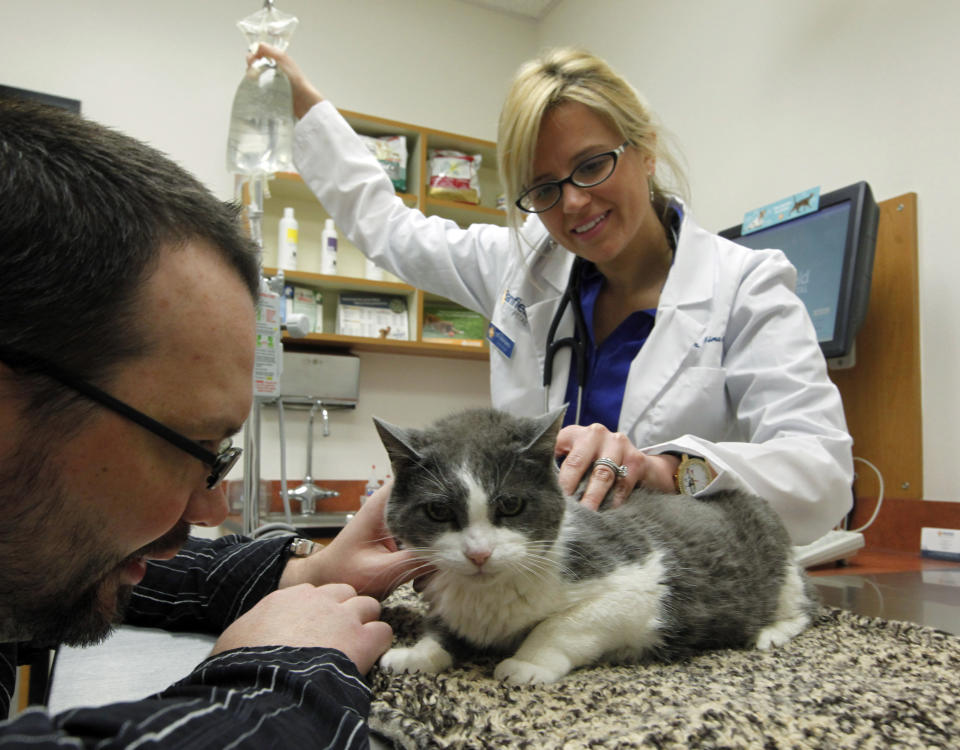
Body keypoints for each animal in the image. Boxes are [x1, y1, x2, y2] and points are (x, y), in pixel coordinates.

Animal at [376, 408, 816, 684]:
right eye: (438, 511)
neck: (490, 596)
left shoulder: (636, 580)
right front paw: (417, 654)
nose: (479, 553)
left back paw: (771, 632)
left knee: (804, 607)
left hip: (781, 570)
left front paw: (526, 663)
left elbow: (562, 624)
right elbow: (443, 629)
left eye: (511, 505)